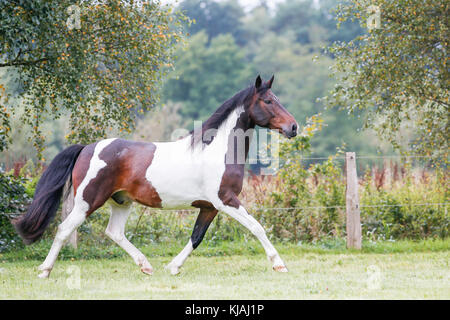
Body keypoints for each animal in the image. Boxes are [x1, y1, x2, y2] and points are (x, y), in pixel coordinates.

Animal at [13, 75, 298, 278]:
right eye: (269, 101)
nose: (293, 127)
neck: (216, 149)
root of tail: (87, 148)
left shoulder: (210, 207)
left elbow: (196, 237)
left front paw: (173, 267)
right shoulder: (226, 201)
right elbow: (257, 227)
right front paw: (280, 265)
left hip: (121, 201)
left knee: (114, 232)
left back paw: (146, 266)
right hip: (87, 202)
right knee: (64, 229)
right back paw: (44, 271)